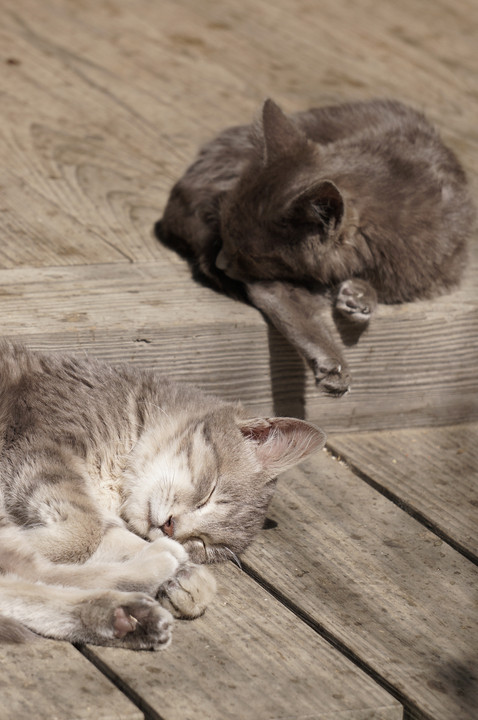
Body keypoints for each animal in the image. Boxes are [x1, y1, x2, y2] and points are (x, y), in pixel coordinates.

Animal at [0, 340, 324, 648]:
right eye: (209, 493)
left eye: (204, 544)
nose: (170, 527)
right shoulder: (42, 449)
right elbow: (81, 534)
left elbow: (105, 536)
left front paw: (189, 577)